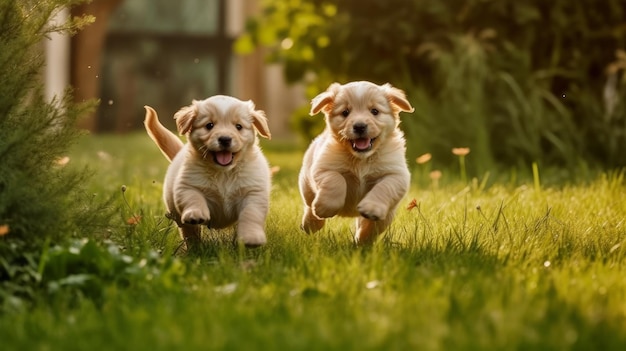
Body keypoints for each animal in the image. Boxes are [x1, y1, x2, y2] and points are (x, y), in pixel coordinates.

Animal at [144, 96, 270, 249]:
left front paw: (252, 237)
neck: (223, 173)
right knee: (189, 233)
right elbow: (193, 198)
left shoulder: (253, 192)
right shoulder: (187, 185)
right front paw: (195, 213)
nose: (225, 139)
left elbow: (251, 214)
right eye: (209, 125)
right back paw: (194, 249)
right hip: (178, 216)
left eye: (239, 126)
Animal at [298, 81, 414, 245]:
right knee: (309, 206)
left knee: (371, 227)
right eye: (345, 112)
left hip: (387, 215)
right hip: (306, 186)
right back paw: (310, 223)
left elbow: (384, 187)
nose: (359, 126)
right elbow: (336, 180)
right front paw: (326, 207)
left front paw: (371, 208)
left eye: (374, 111)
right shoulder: (322, 168)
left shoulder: (397, 174)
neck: (361, 159)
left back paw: (362, 241)